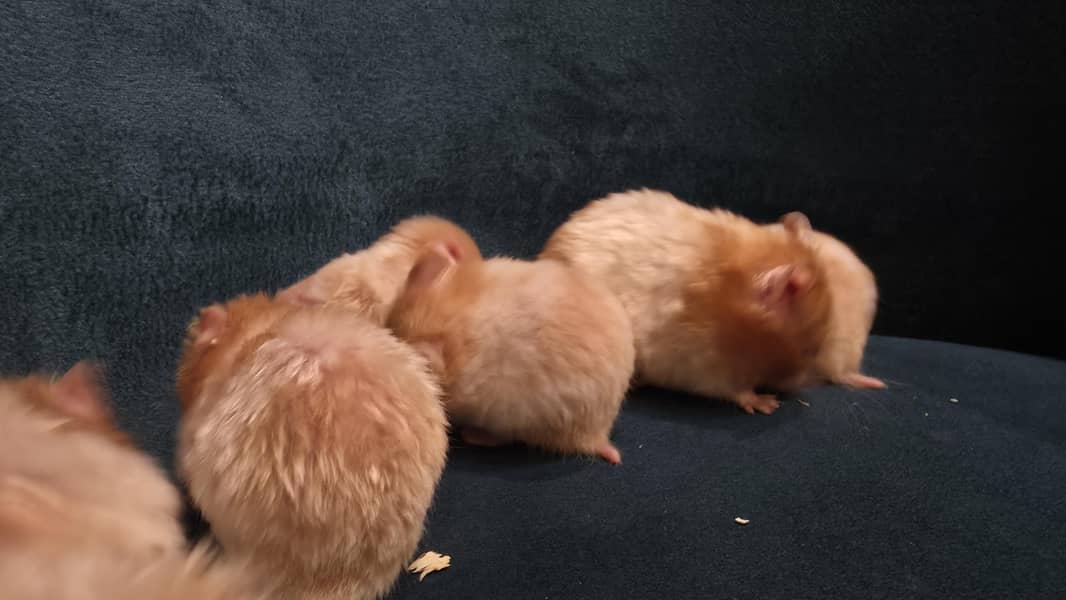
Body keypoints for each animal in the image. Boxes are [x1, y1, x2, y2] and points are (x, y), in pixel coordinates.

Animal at [540, 188, 831, 415]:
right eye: (808, 350)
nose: (807, 384)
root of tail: (545, 253)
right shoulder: (706, 366)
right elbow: (738, 390)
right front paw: (768, 404)